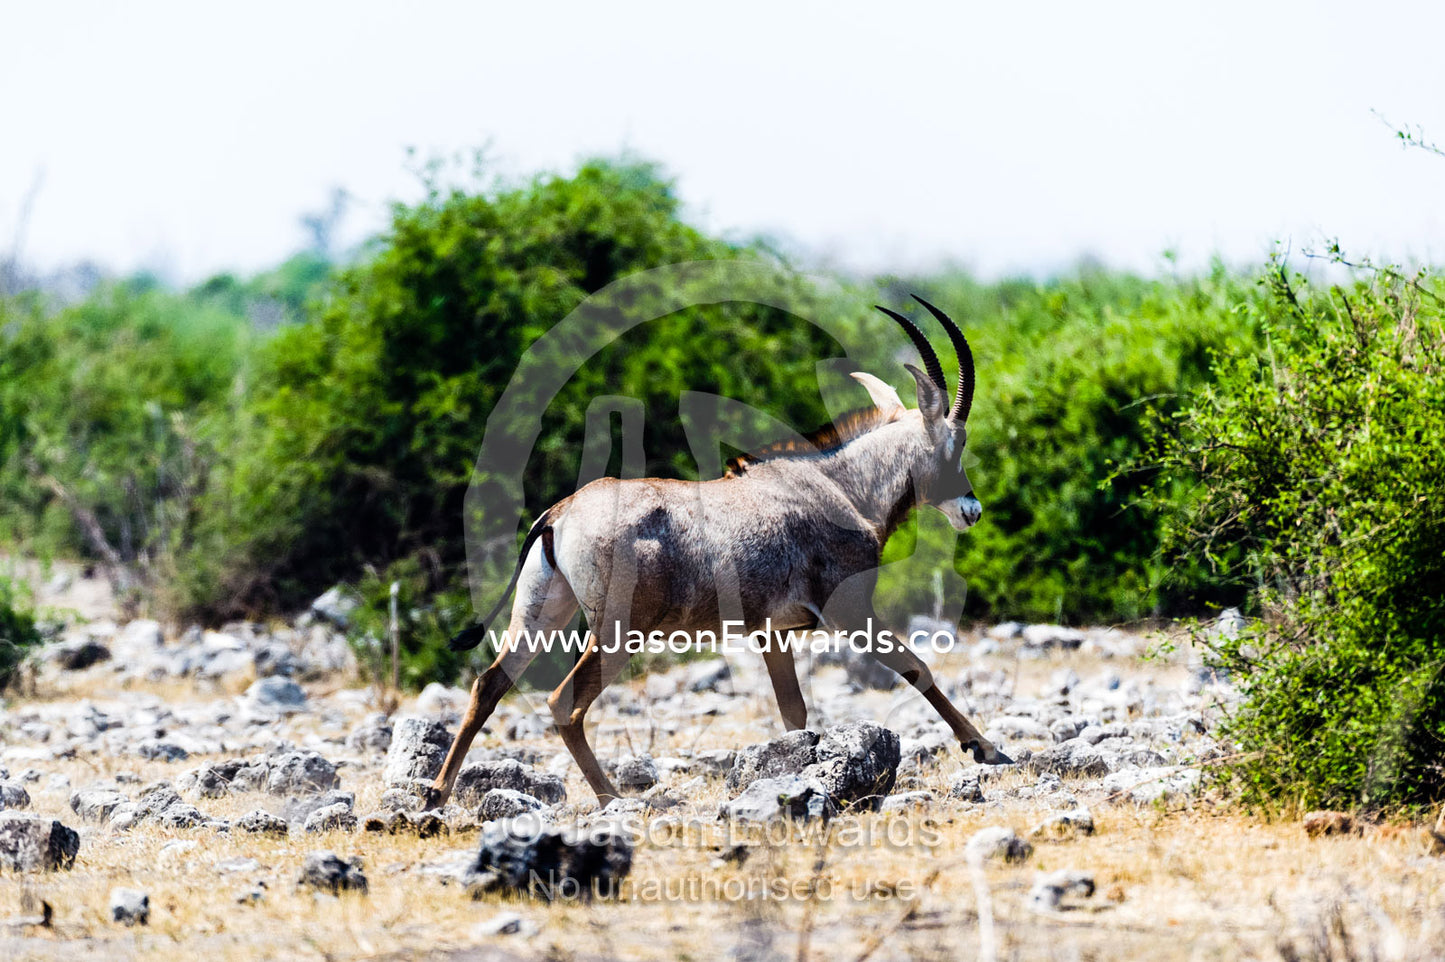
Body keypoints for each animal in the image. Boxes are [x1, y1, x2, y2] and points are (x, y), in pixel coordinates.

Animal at [425, 295, 1012, 808]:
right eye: (956, 444)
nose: (973, 509)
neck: (841, 487)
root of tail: (561, 513)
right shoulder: (848, 610)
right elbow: (918, 668)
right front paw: (986, 749)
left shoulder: (774, 632)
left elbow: (794, 712)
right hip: (617, 629)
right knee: (563, 703)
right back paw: (612, 798)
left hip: (543, 613)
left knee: (490, 682)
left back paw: (437, 794)